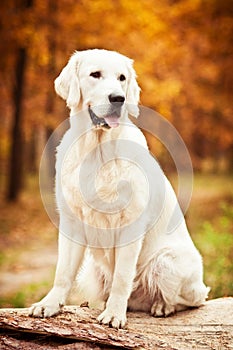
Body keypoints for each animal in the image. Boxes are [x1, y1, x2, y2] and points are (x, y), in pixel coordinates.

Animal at [29, 48, 209, 328]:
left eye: (122, 78)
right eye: (95, 74)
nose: (118, 98)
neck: (97, 149)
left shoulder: (131, 225)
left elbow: (123, 277)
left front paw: (114, 313)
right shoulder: (71, 221)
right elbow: (63, 272)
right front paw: (49, 304)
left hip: (167, 261)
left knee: (192, 300)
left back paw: (162, 306)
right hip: (94, 269)